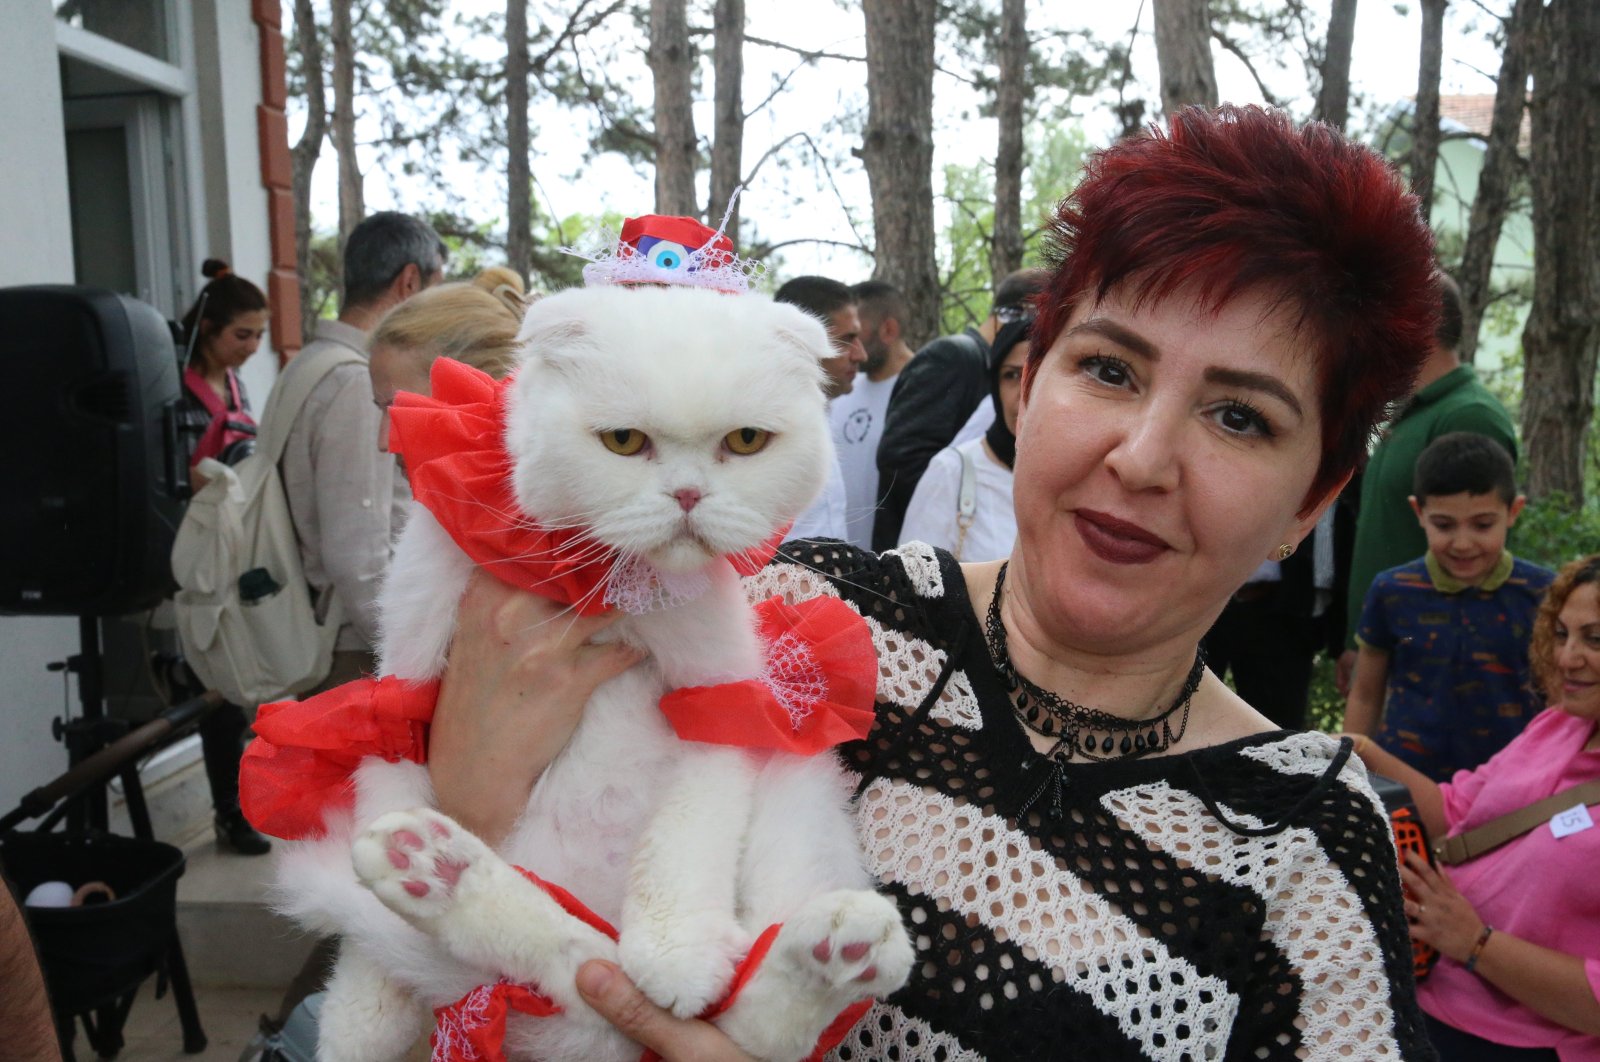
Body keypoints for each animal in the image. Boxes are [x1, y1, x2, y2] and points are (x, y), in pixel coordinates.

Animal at [275, 281, 915, 1062]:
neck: (594, 579)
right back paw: (426, 867)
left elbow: (684, 840)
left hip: (800, 782)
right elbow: (385, 782)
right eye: (623, 442)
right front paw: (369, 1006)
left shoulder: (720, 695)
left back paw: (837, 952)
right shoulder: (404, 679)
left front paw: (675, 950)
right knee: (566, 958)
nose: (688, 496)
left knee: (729, 1018)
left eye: (745, 442)